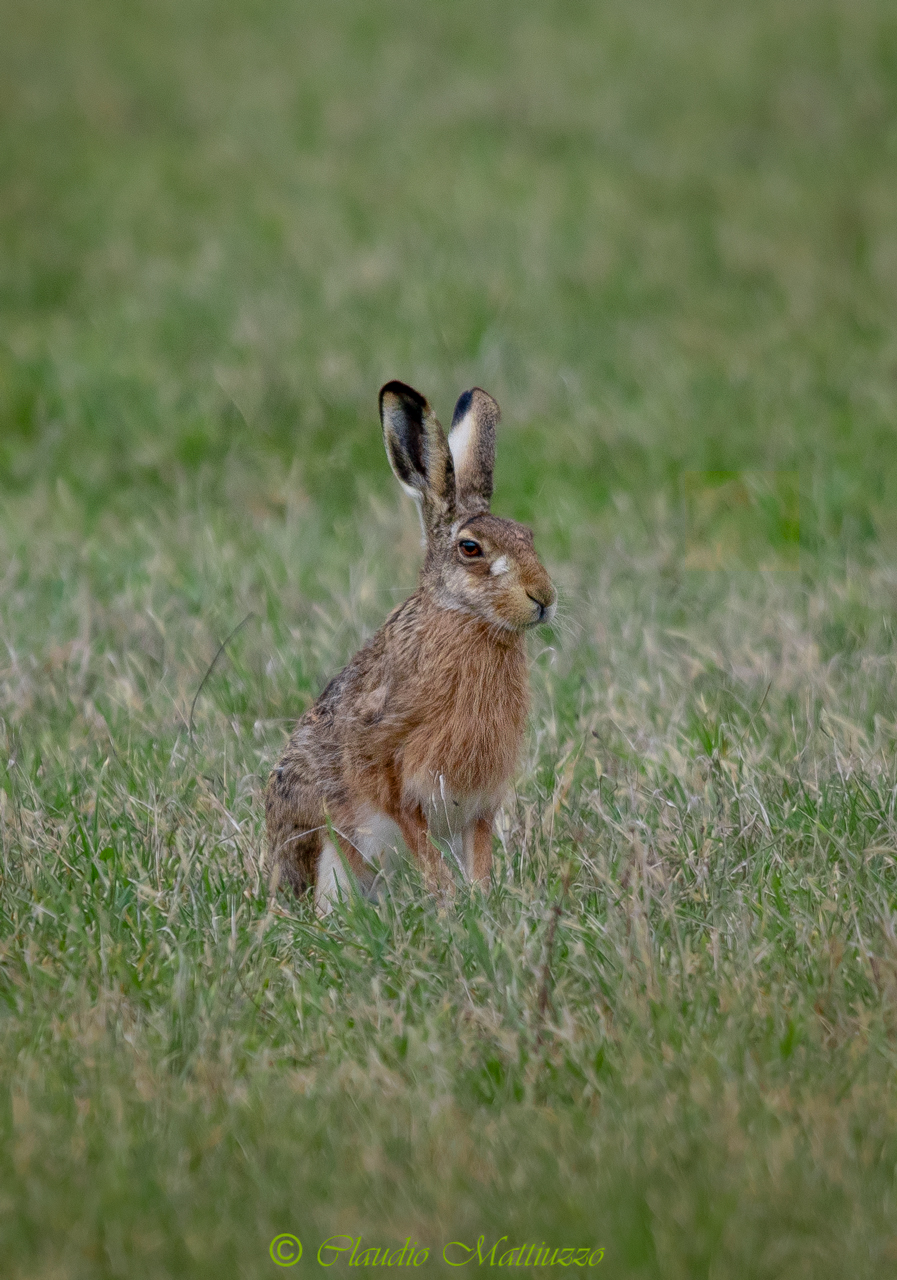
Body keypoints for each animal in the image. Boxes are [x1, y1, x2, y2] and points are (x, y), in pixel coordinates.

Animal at [264, 380, 557, 912]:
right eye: (470, 548)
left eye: (527, 536)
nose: (544, 598)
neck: (466, 619)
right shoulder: (392, 775)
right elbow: (418, 839)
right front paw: (450, 901)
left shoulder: (480, 800)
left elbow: (478, 852)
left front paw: (480, 901)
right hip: (332, 848)